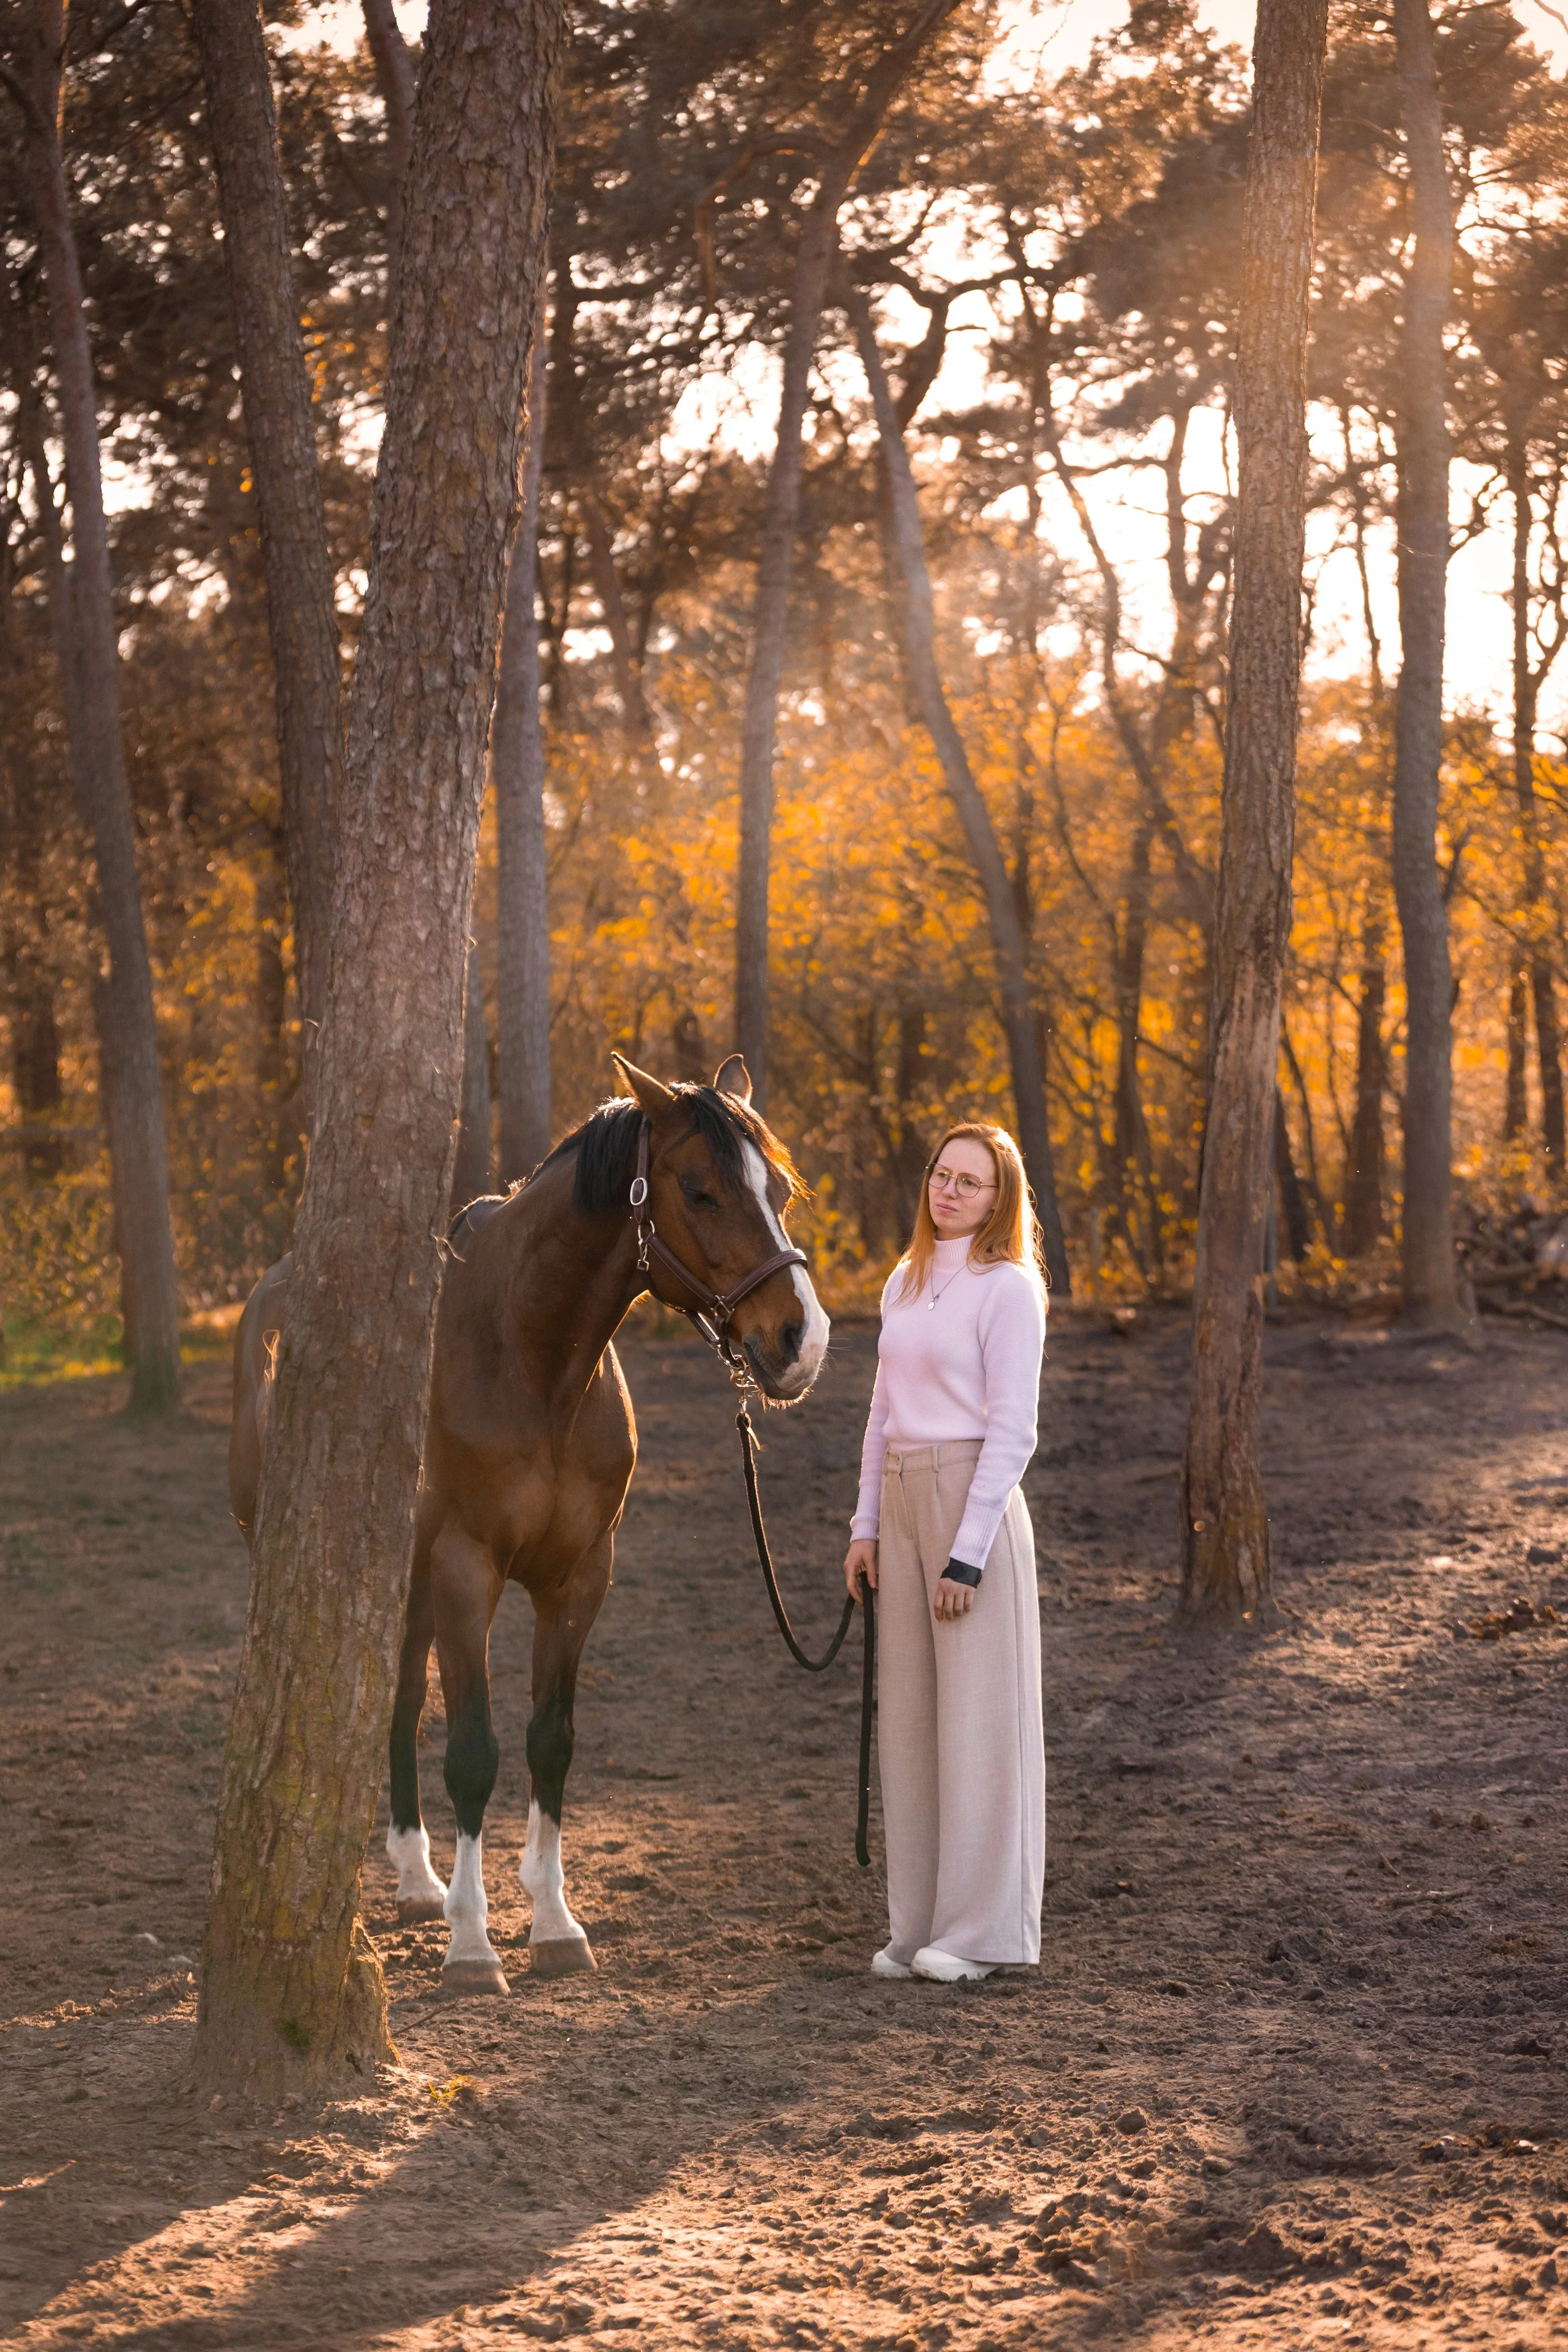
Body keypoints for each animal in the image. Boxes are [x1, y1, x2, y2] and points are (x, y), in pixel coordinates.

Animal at [229, 1053, 830, 1992]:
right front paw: (474, 1947)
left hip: (406, 1585)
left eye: (782, 1189)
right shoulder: (464, 1570)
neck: (528, 1359)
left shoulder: (579, 1576)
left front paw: (553, 1923)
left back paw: (417, 1879)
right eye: (699, 1189)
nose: (800, 1340)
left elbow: (551, 1742)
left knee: (402, 1701)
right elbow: (474, 1754)